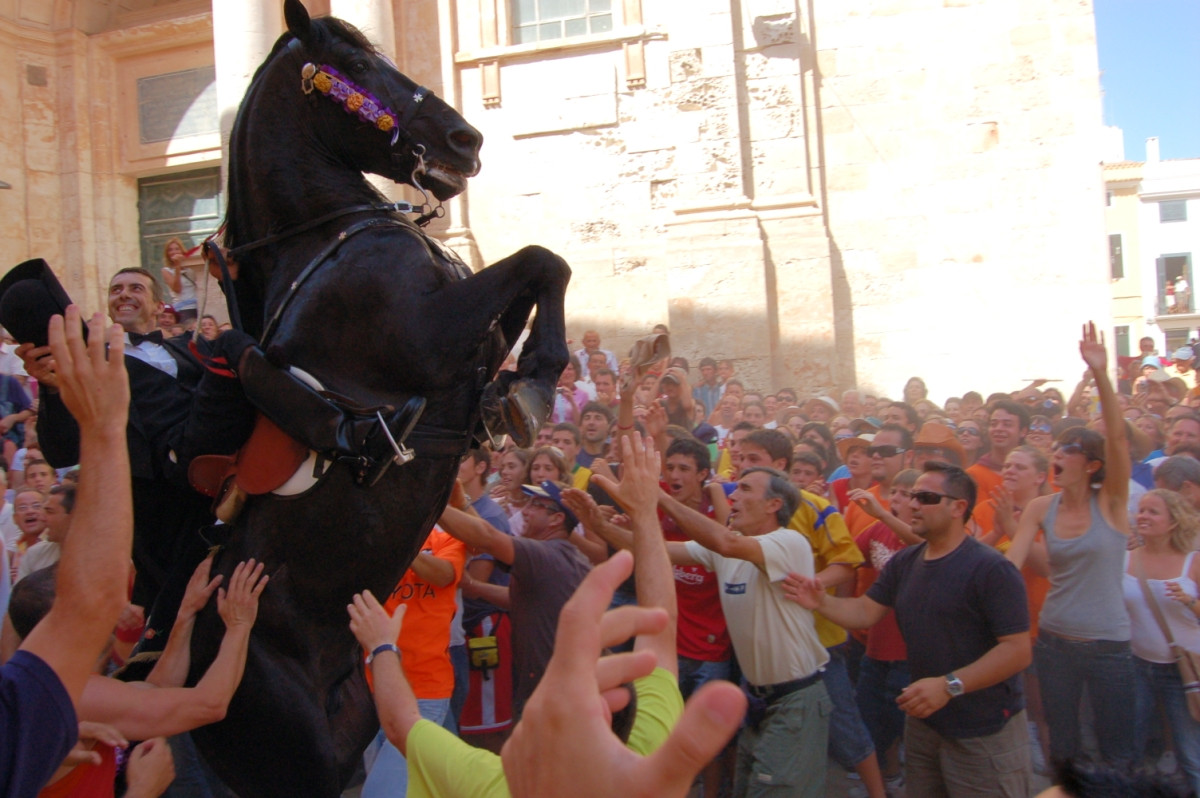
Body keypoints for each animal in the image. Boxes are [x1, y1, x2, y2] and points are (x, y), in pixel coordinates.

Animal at [186, 3, 566, 792]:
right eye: (357, 66)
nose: (464, 139)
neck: (329, 236)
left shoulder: (471, 332)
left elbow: (537, 275)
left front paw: (519, 388)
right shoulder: (426, 335)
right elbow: (542, 260)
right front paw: (539, 379)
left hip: (352, 725)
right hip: (297, 753)